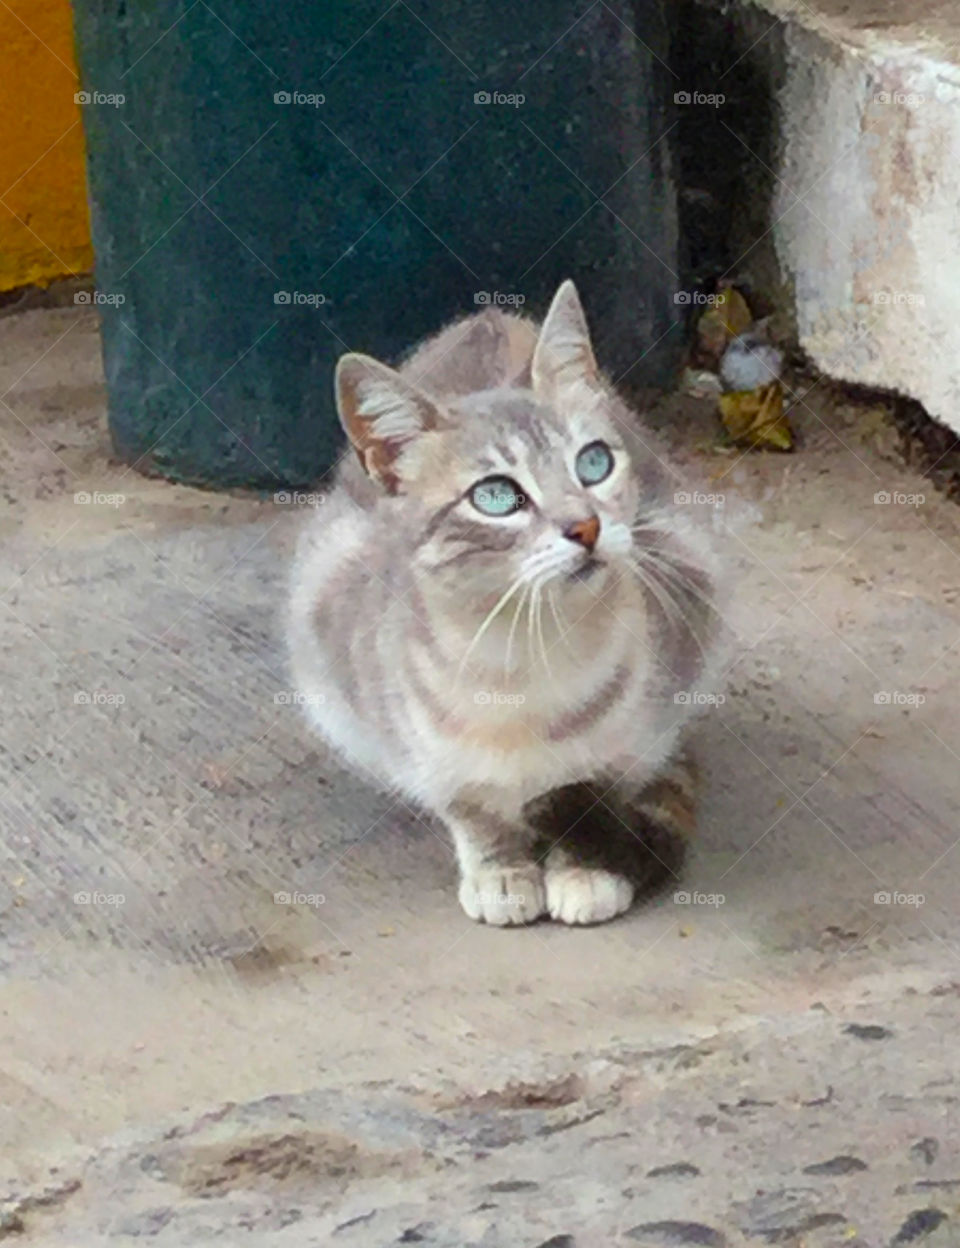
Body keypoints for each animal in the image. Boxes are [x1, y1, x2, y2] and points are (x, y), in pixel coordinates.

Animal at [288, 283, 724, 928]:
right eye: (495, 496)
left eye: (593, 462)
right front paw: (501, 871)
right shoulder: (426, 751)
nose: (587, 526)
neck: (522, 655)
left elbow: (598, 793)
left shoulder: (643, 725)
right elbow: (472, 812)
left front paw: (587, 870)